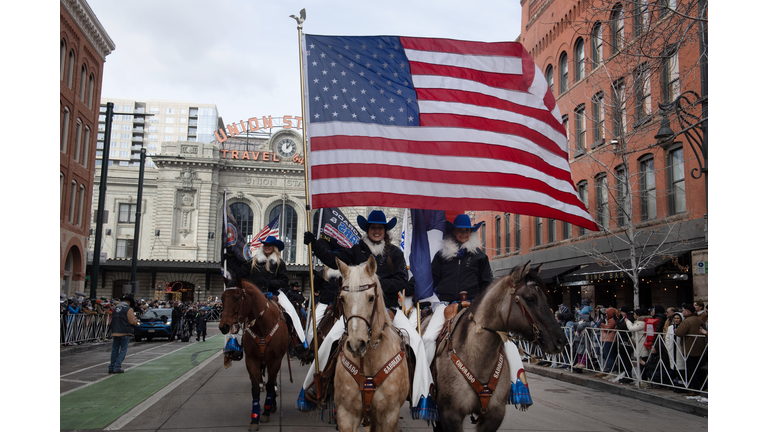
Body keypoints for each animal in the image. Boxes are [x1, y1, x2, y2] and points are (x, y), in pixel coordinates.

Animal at [222, 278, 294, 430]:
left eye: (237, 298)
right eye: (222, 298)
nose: (223, 326)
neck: (262, 325)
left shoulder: (276, 360)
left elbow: (271, 385)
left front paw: (266, 411)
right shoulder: (252, 360)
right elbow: (255, 388)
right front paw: (254, 418)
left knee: (272, 382)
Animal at [334, 255, 412, 432]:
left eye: (371, 298)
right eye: (342, 299)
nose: (356, 344)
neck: (369, 359)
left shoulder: (389, 415)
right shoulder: (346, 414)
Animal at [426, 262, 564, 432]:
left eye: (546, 297)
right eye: (530, 299)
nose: (561, 340)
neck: (477, 356)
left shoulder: (494, 415)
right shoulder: (450, 414)